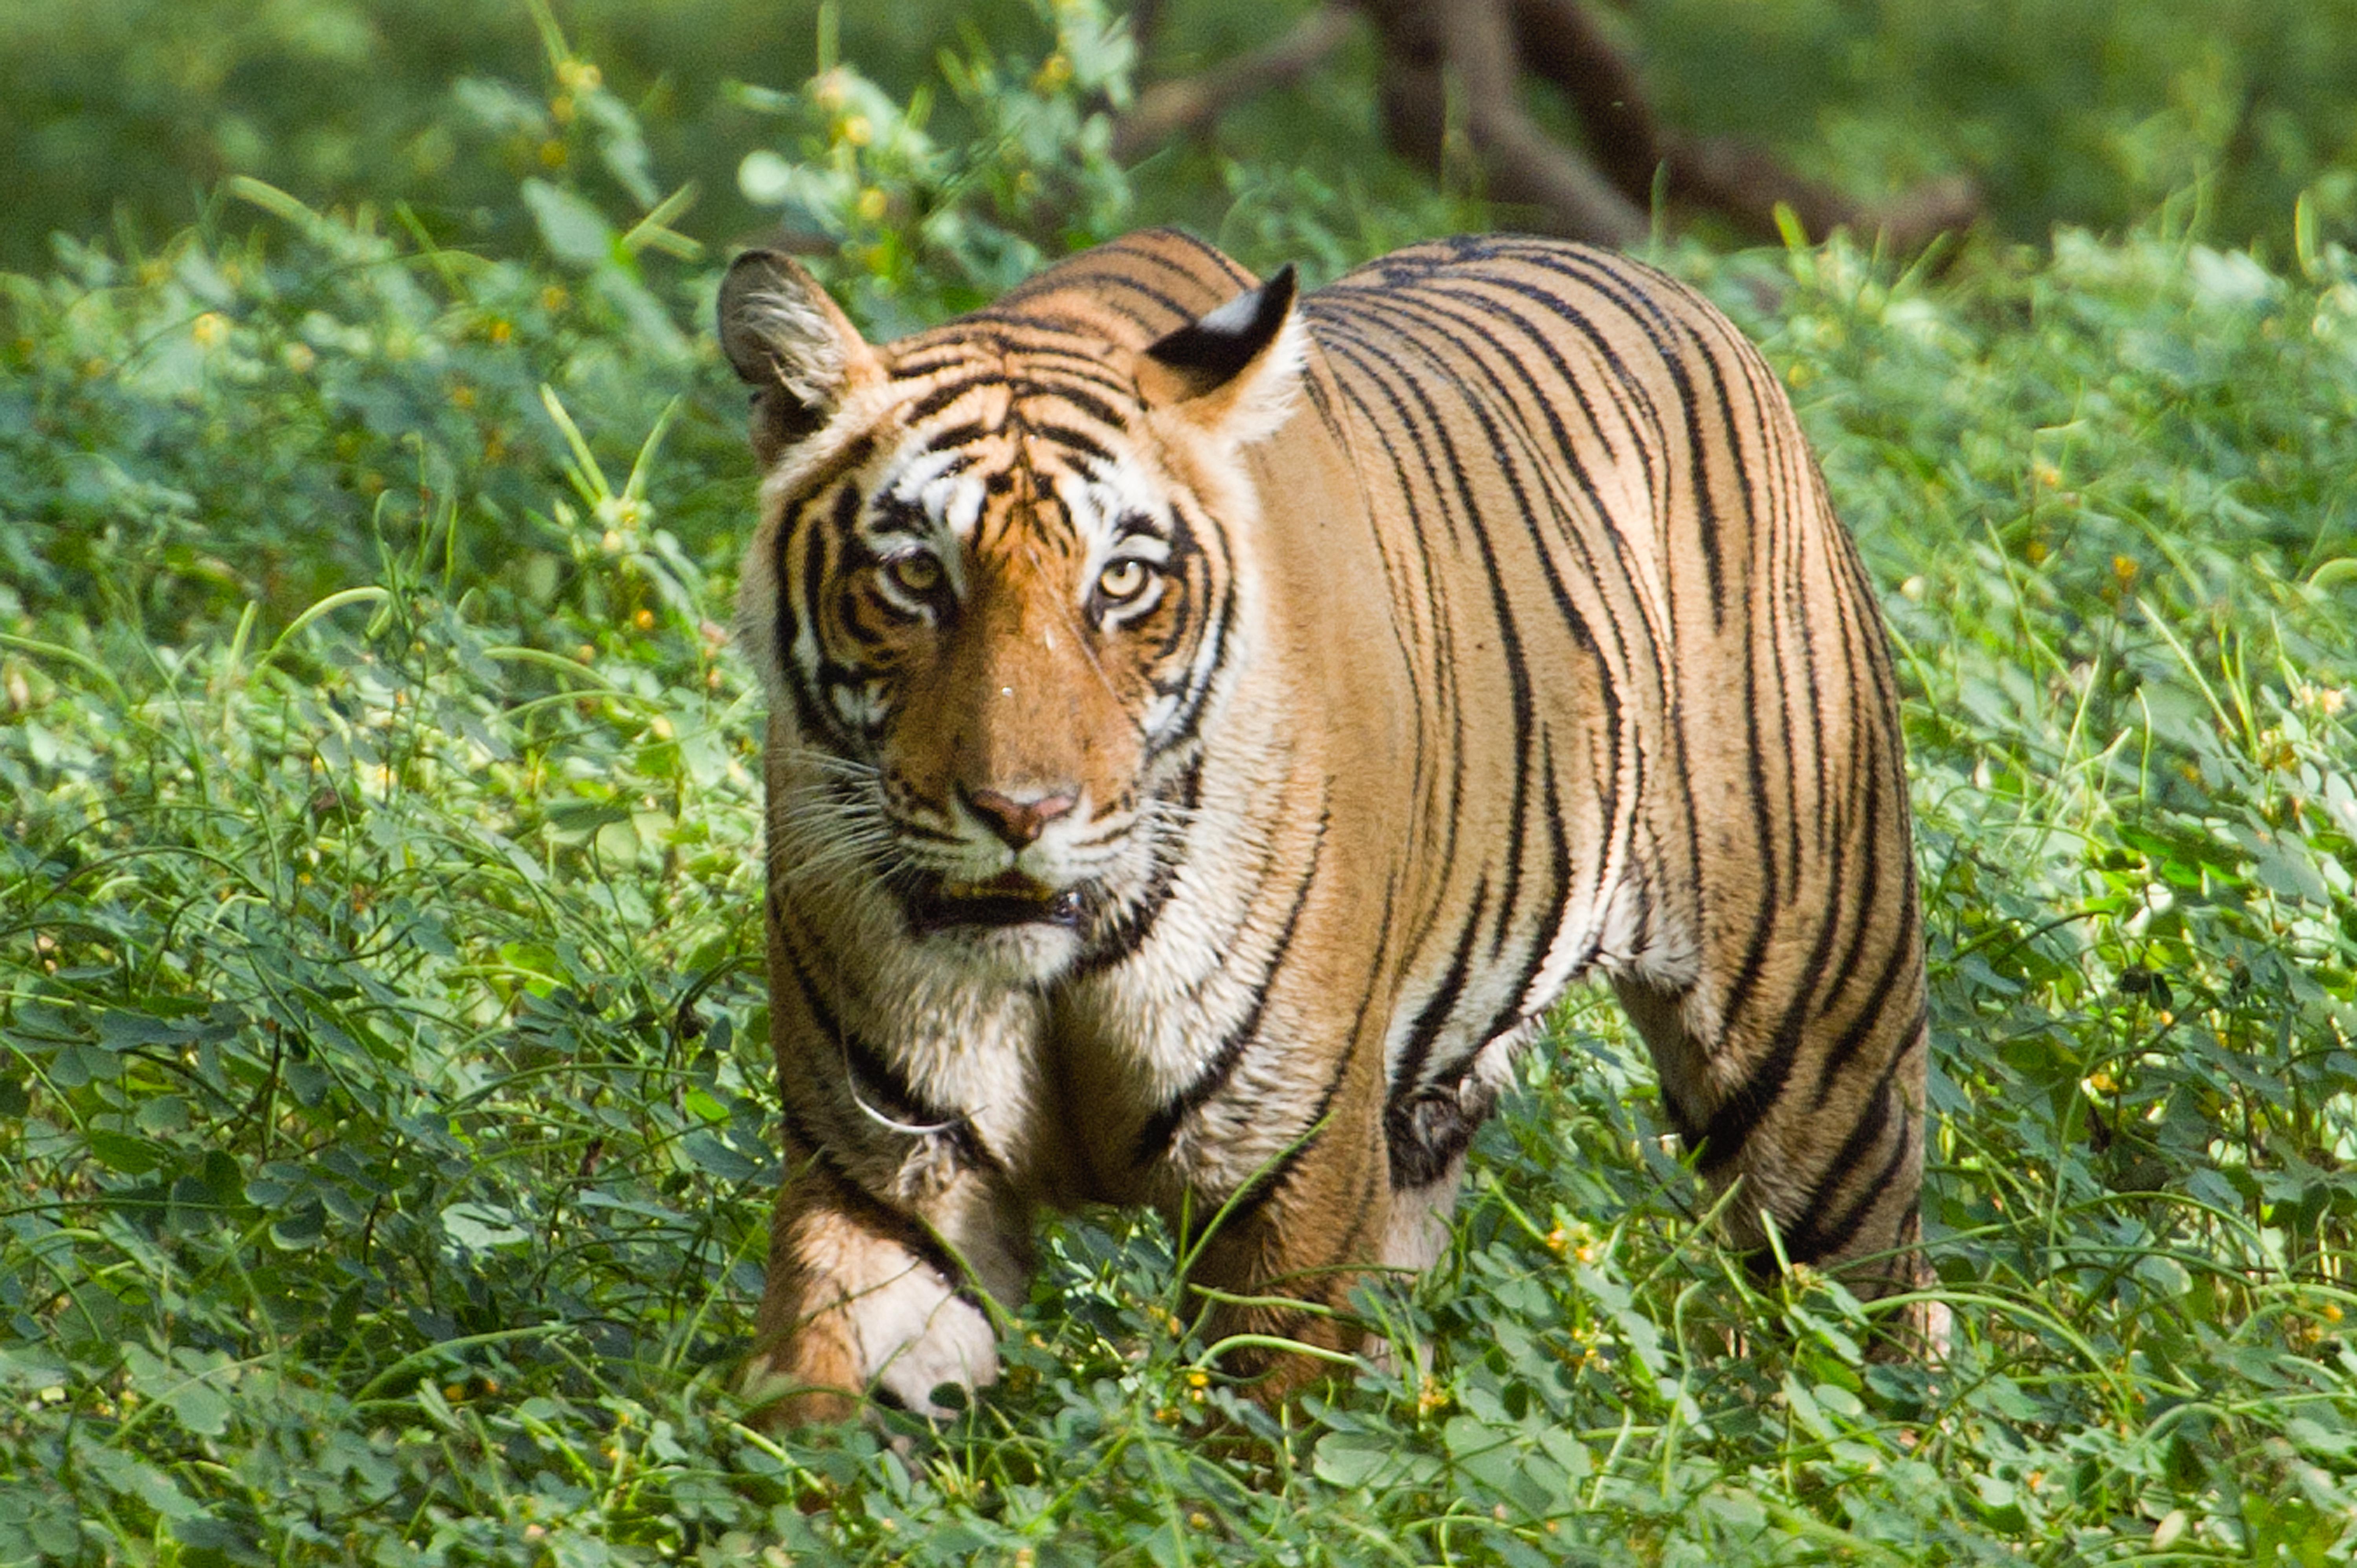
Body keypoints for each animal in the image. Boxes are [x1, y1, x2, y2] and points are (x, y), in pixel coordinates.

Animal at [717, 228, 1929, 1423]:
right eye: (918, 575)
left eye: (1123, 582)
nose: (1024, 812)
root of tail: (1669, 275)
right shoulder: (891, 1178)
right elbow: (819, 1415)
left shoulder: (1288, 1183)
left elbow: (1261, 1441)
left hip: (1818, 1064)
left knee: (1882, 1316)